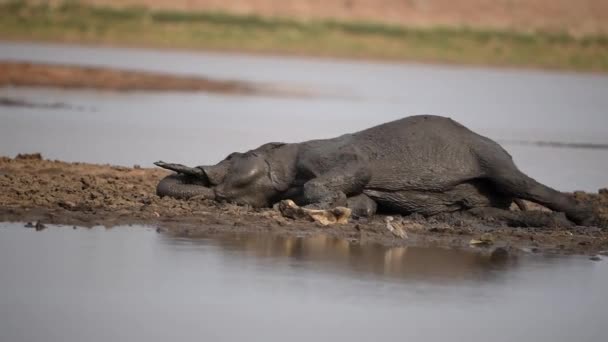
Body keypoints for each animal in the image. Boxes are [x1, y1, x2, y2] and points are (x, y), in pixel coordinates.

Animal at [153, 115, 592, 227]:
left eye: (234, 154)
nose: (198, 172)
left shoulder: (325, 156)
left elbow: (356, 172)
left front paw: (317, 208)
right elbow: (365, 201)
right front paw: (346, 210)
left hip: (491, 157)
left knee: (521, 183)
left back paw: (586, 219)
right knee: (487, 210)